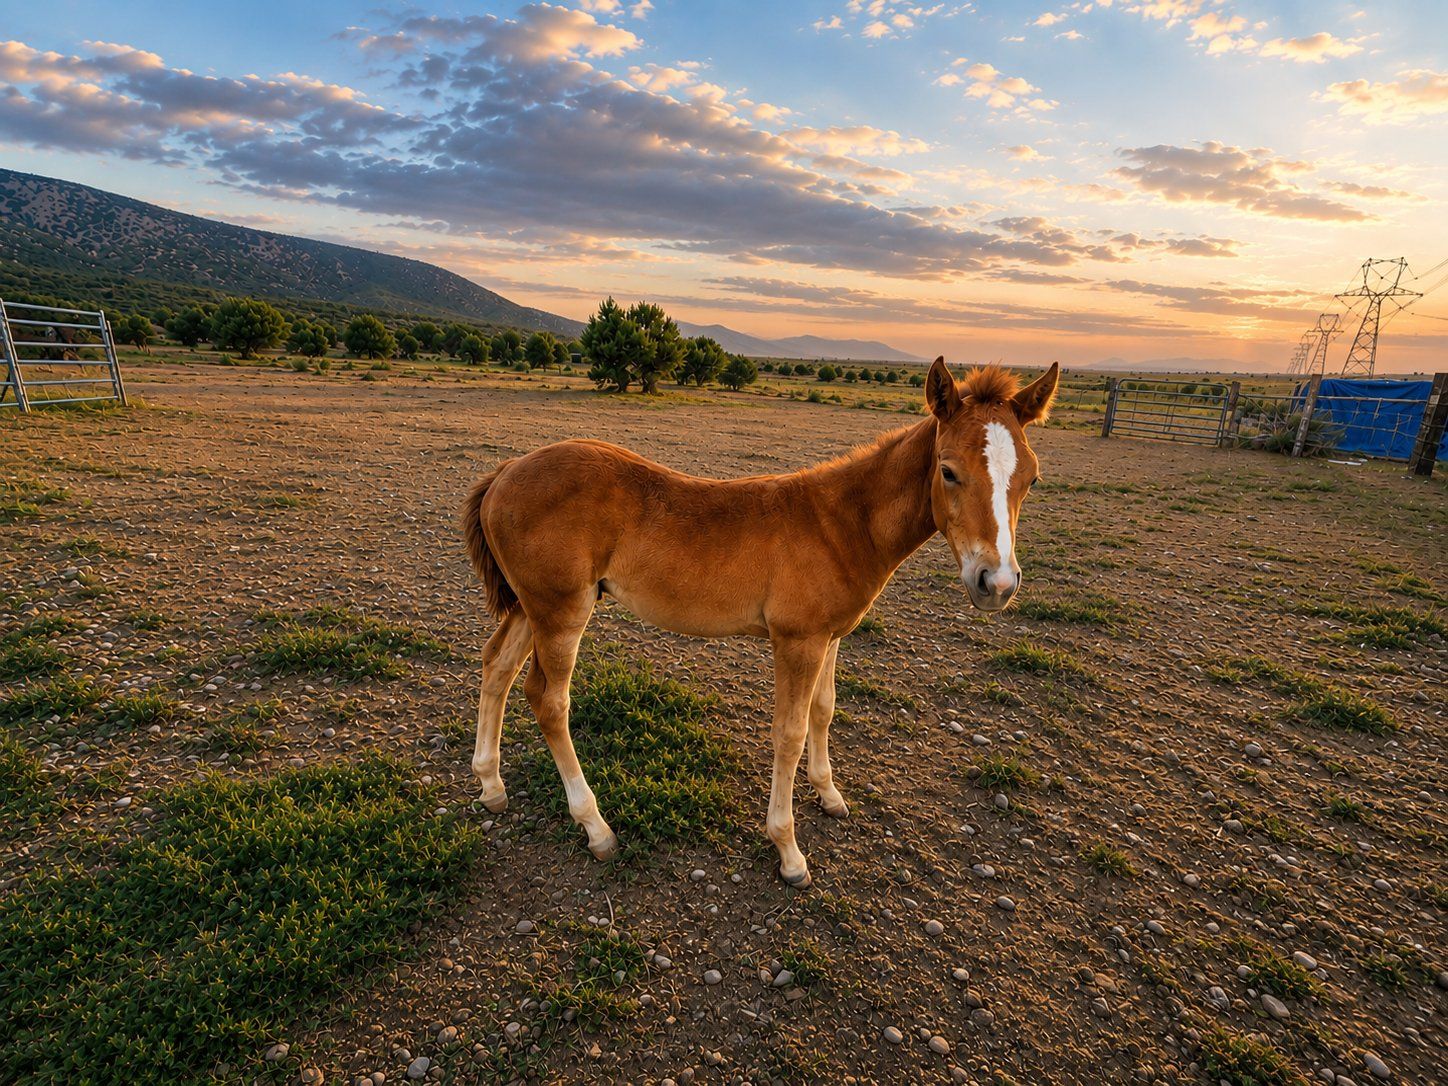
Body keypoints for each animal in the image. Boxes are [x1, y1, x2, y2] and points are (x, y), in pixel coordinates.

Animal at [461, 357, 1059, 887]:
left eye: (1031, 478)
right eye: (948, 471)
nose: (996, 583)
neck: (841, 524)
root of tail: (505, 472)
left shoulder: (829, 638)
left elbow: (824, 710)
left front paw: (829, 794)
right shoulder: (797, 642)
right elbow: (788, 734)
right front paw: (789, 851)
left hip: (530, 606)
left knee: (497, 667)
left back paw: (490, 785)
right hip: (562, 611)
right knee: (548, 700)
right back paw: (595, 827)